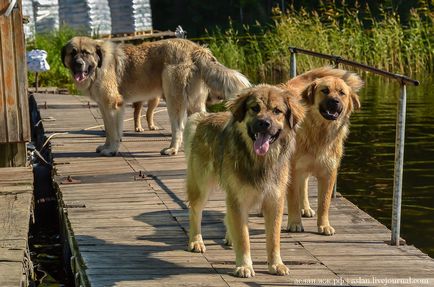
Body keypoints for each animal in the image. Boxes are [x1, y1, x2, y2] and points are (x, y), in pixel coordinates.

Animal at [62, 37, 251, 158]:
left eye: (86, 53)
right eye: (73, 53)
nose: (78, 64)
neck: (99, 65)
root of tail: (197, 49)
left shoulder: (113, 105)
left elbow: (114, 132)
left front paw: (112, 150)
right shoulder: (104, 107)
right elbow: (109, 130)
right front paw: (106, 146)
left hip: (173, 99)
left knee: (178, 128)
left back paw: (172, 149)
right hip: (194, 103)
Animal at [185, 84, 304, 278]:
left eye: (277, 111)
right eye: (255, 108)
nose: (264, 123)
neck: (260, 161)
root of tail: (205, 117)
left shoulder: (274, 201)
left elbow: (273, 238)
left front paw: (276, 264)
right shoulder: (238, 199)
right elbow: (243, 237)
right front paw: (244, 266)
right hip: (201, 186)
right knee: (195, 211)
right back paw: (196, 241)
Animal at [284, 67, 364, 236]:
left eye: (342, 93)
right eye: (325, 90)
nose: (334, 101)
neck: (320, 132)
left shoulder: (329, 173)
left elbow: (324, 202)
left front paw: (324, 225)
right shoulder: (293, 169)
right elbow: (293, 199)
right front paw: (294, 223)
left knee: (304, 185)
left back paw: (306, 208)